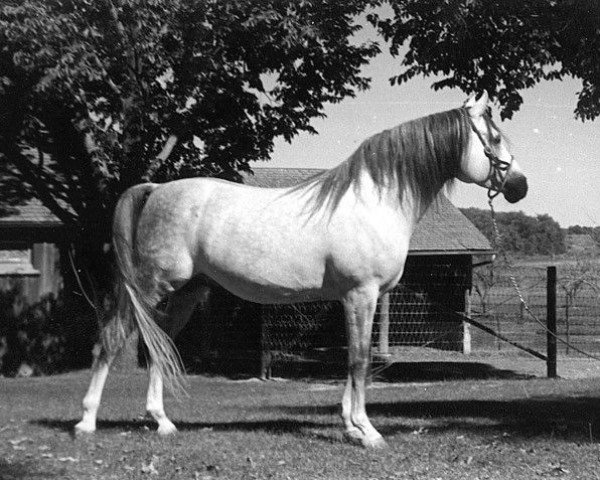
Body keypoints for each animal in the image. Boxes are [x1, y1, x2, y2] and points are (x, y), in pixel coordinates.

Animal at [74, 92, 524, 448]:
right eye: (495, 138)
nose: (520, 186)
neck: (374, 200)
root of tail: (156, 190)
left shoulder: (355, 299)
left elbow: (352, 362)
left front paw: (350, 426)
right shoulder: (361, 295)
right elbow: (359, 361)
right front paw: (367, 431)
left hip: (186, 292)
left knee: (159, 344)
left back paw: (162, 421)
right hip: (150, 286)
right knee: (110, 339)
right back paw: (87, 421)